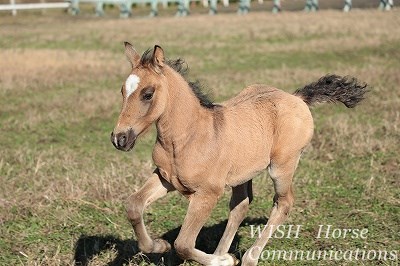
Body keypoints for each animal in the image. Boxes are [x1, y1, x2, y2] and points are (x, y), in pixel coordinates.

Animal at [111, 42, 368, 264]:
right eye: (122, 91)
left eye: (147, 93)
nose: (119, 138)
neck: (188, 137)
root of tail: (297, 98)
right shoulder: (166, 178)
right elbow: (133, 205)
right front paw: (159, 245)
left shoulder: (207, 194)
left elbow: (183, 243)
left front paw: (225, 260)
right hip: (243, 173)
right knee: (240, 205)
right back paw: (222, 251)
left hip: (282, 166)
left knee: (283, 203)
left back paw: (248, 258)